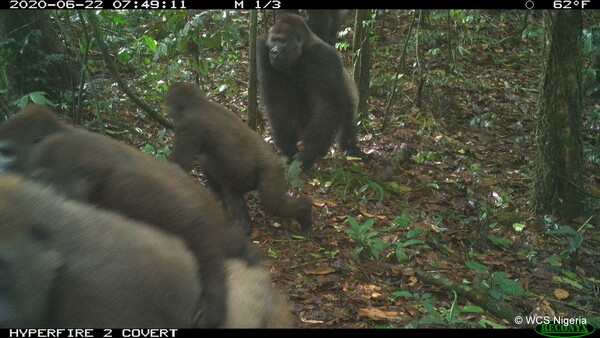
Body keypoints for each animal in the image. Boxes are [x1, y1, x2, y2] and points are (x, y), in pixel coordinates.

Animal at [165, 82, 314, 235]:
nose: (168, 110)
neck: (198, 103)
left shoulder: (189, 126)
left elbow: (179, 164)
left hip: (271, 169)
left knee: (273, 203)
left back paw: (305, 212)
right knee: (229, 185)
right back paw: (243, 226)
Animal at [255, 12, 364, 172]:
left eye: (282, 41)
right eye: (274, 40)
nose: (274, 51)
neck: (302, 50)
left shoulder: (323, 57)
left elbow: (326, 109)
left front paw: (307, 154)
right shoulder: (263, 49)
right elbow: (278, 105)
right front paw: (288, 147)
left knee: (347, 113)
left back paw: (350, 148)